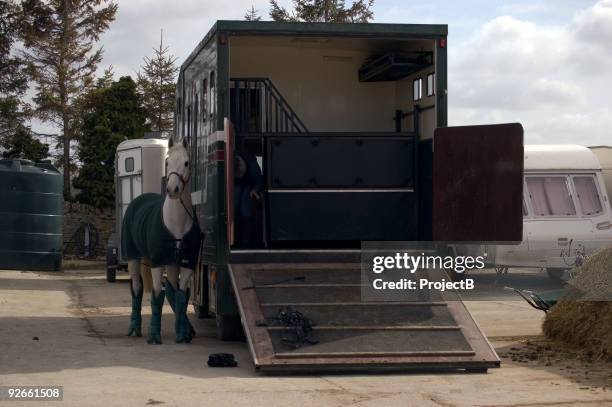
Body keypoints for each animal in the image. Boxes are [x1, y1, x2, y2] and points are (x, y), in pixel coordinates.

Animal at [121, 136, 201, 344]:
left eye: (186, 162)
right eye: (166, 162)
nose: (172, 189)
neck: (176, 223)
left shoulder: (186, 263)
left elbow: (181, 295)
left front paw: (182, 334)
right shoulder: (157, 262)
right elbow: (157, 294)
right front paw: (154, 335)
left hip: (170, 263)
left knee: (172, 290)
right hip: (133, 257)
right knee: (137, 287)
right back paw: (134, 327)